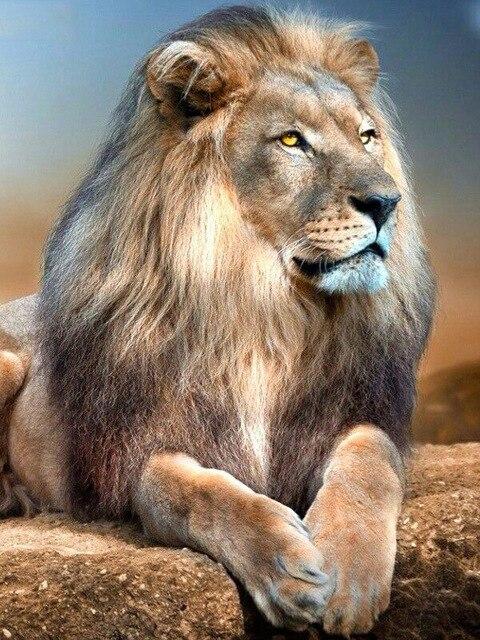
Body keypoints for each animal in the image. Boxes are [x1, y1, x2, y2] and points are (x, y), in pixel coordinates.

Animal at [0, 6, 435, 636]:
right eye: (291, 141)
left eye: (367, 137)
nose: (386, 202)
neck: (265, 310)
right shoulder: (141, 449)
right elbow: (191, 492)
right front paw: (286, 569)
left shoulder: (352, 411)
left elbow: (370, 460)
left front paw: (350, 574)